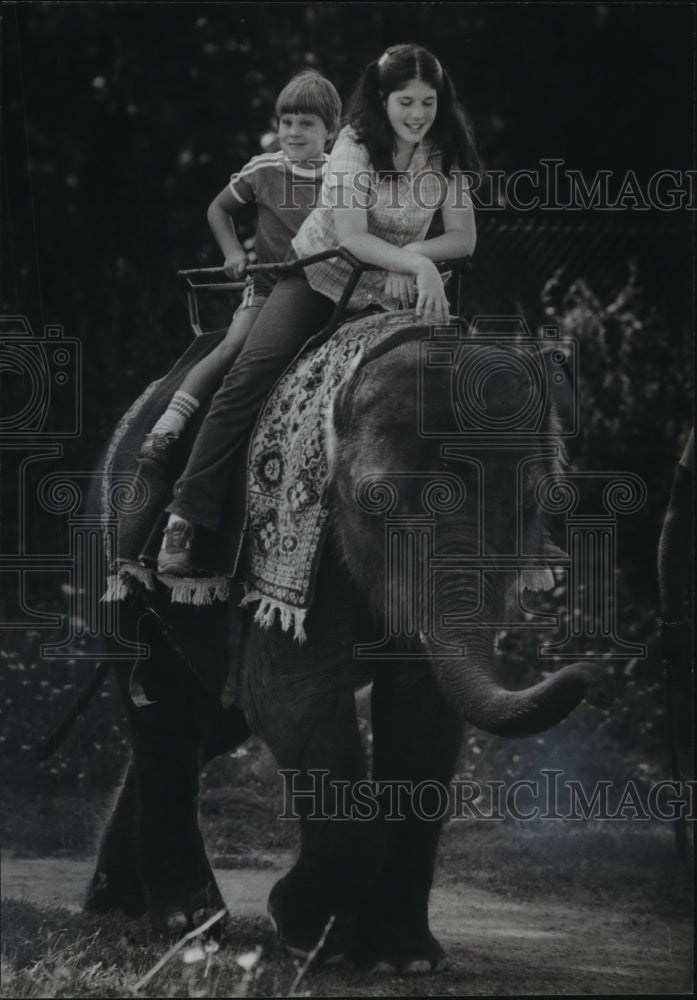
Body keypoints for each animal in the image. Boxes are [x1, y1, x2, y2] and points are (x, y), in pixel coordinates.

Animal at [84, 310, 604, 968]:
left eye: (538, 503)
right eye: (376, 500)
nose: (588, 675)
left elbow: (423, 709)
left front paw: (406, 959)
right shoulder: (288, 550)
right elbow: (293, 700)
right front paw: (307, 933)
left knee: (213, 722)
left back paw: (116, 901)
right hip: (112, 550)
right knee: (167, 711)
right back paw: (189, 925)